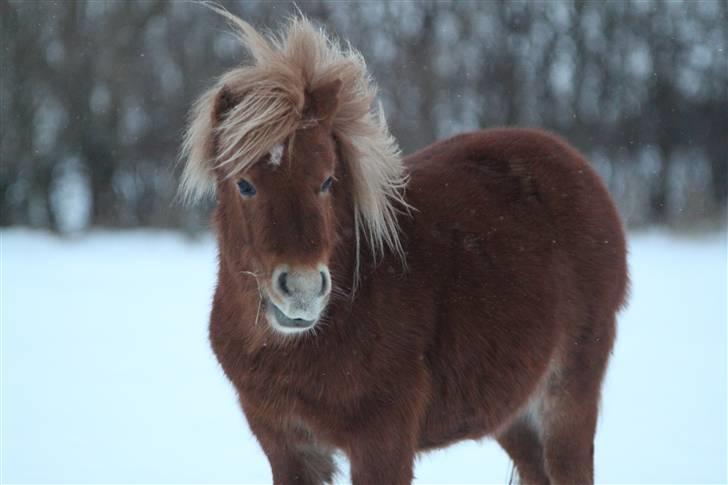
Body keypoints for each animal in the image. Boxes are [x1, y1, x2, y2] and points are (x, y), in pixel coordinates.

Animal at [181, 8, 624, 484]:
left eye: (327, 180)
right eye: (244, 184)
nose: (301, 291)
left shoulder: (382, 442)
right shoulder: (288, 446)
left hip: (567, 396)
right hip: (513, 412)